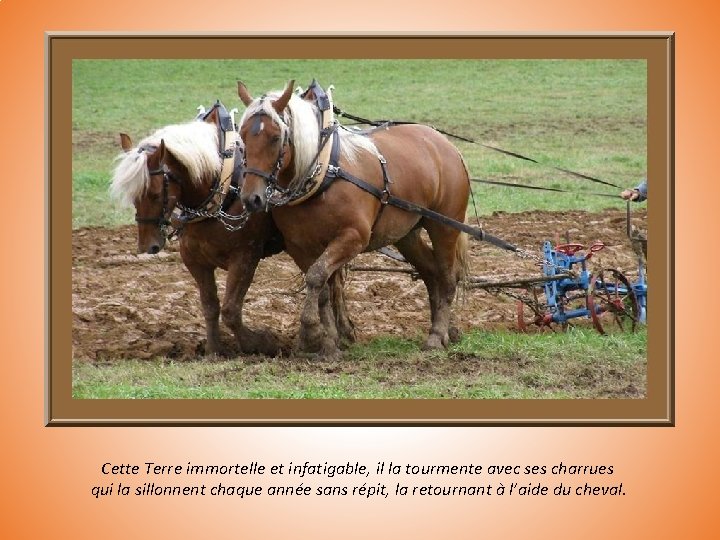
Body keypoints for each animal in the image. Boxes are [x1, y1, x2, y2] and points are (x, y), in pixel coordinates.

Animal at [109, 106, 354, 358]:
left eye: (156, 193)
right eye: (134, 196)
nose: (147, 246)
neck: (221, 188)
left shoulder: (245, 256)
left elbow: (230, 309)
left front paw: (260, 343)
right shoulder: (194, 260)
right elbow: (209, 305)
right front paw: (213, 349)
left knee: (332, 282)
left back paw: (340, 332)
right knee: (332, 281)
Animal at [239, 80, 470, 356]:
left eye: (275, 138)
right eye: (241, 136)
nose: (251, 198)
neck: (324, 174)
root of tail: (447, 145)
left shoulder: (354, 237)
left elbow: (317, 276)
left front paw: (310, 333)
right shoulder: (298, 245)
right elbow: (322, 286)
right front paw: (328, 342)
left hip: (444, 225)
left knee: (447, 277)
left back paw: (436, 335)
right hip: (407, 233)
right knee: (431, 272)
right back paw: (445, 331)